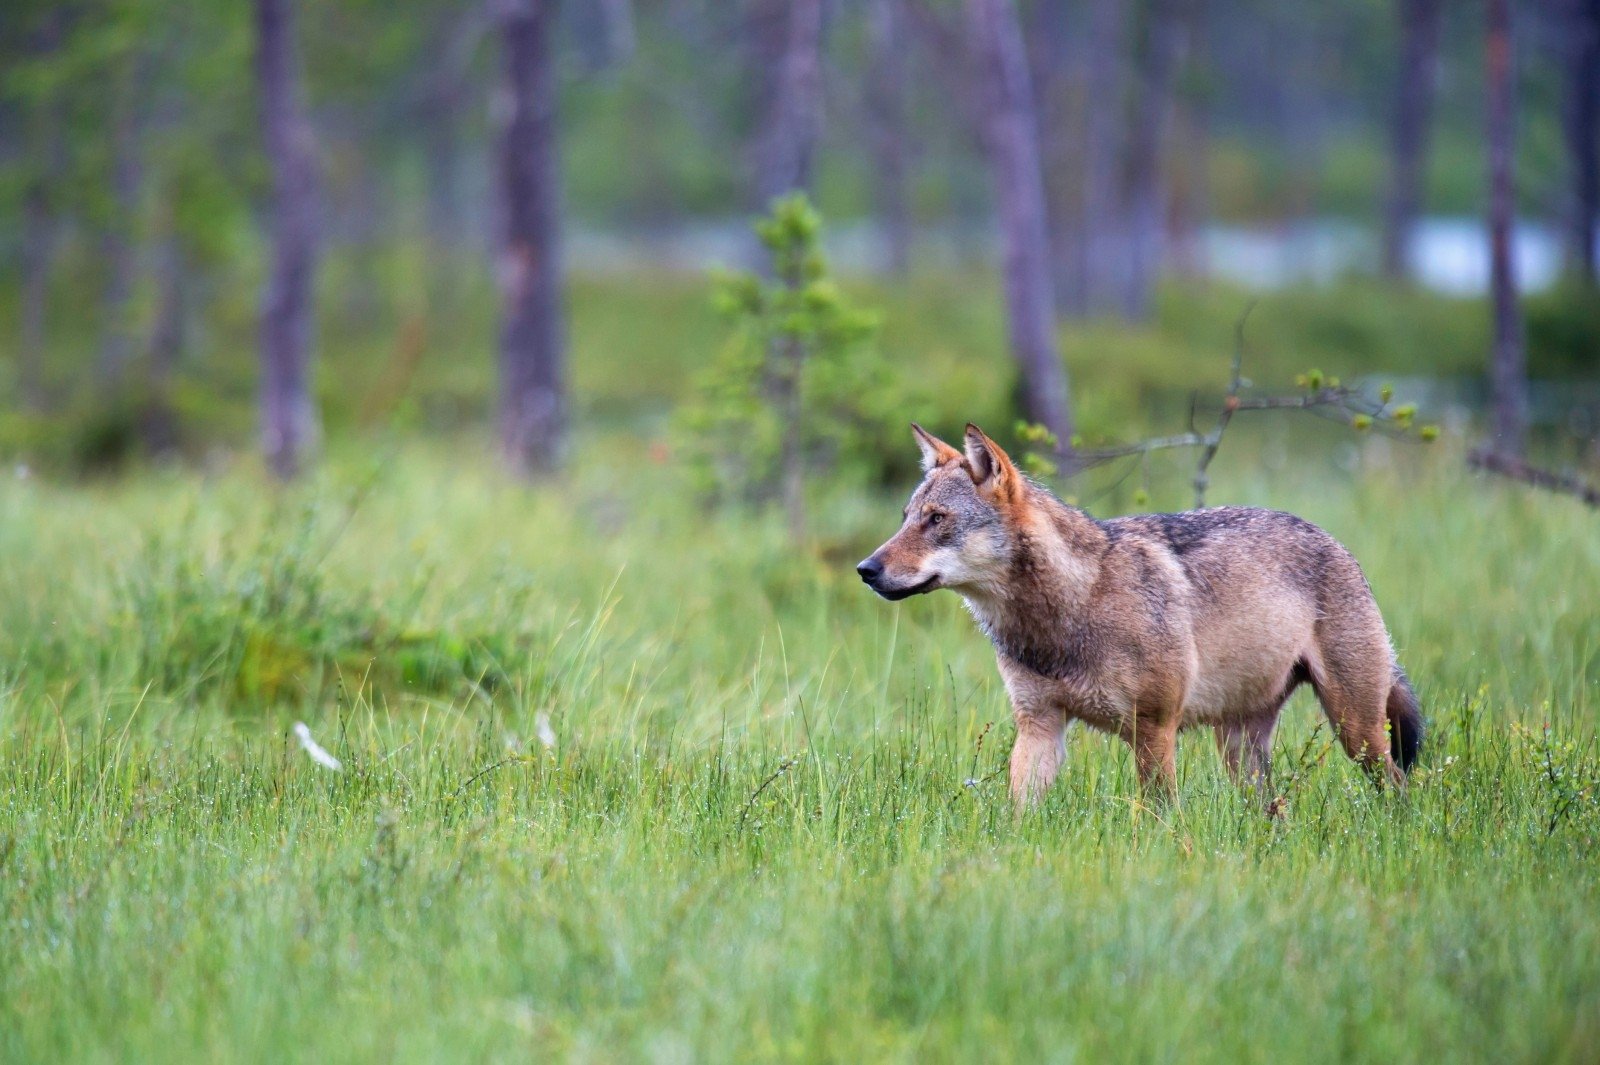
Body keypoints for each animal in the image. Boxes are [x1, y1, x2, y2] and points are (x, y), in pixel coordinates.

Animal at [857, 422, 1420, 805]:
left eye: (936, 520)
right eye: (905, 518)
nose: (865, 569)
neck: (1073, 607)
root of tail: (1337, 543)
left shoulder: (1153, 728)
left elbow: (1158, 816)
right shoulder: (1038, 726)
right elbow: (1017, 812)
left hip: (1356, 732)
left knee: (1399, 789)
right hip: (1241, 751)